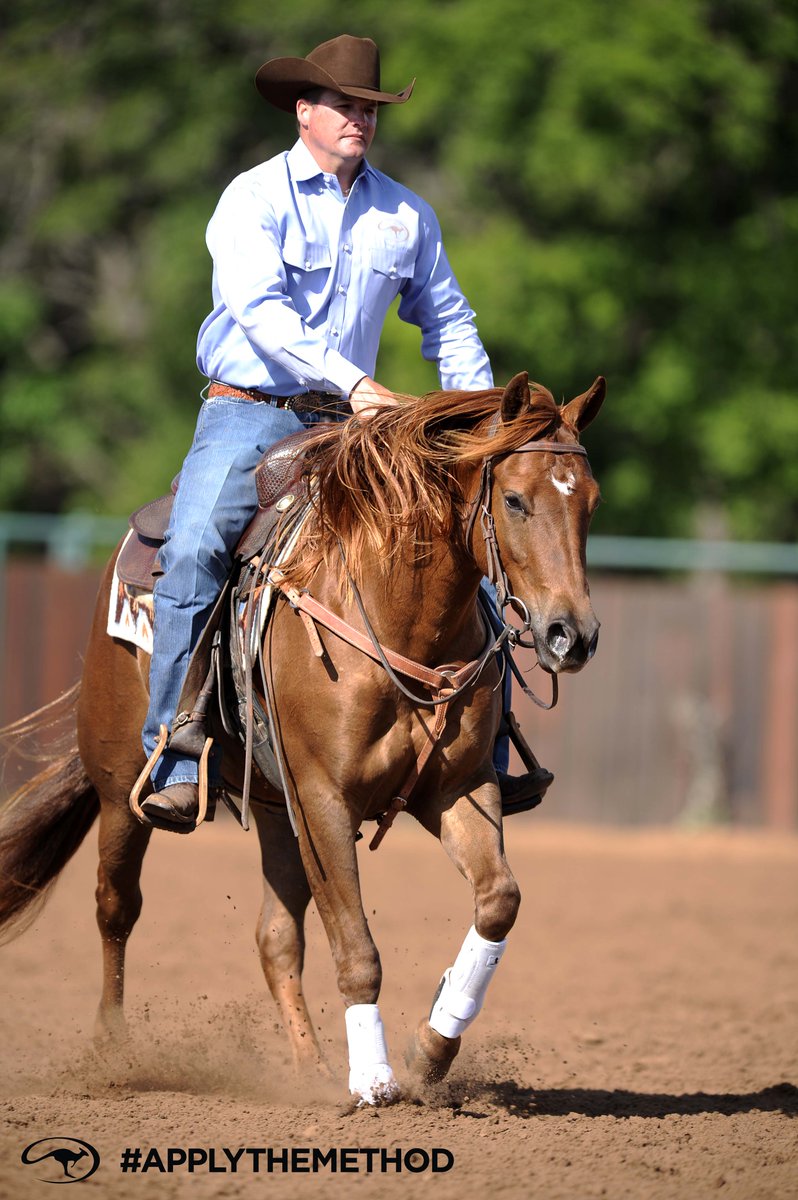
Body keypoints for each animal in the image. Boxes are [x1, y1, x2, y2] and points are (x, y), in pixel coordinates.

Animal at [0, 369, 600, 1099]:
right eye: (513, 500)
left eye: (591, 502)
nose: (572, 635)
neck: (393, 612)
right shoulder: (323, 801)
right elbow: (357, 949)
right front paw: (373, 1080)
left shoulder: (458, 789)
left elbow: (498, 901)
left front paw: (431, 1047)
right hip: (122, 790)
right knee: (116, 906)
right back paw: (115, 1054)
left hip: (272, 808)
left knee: (275, 938)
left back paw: (309, 1070)